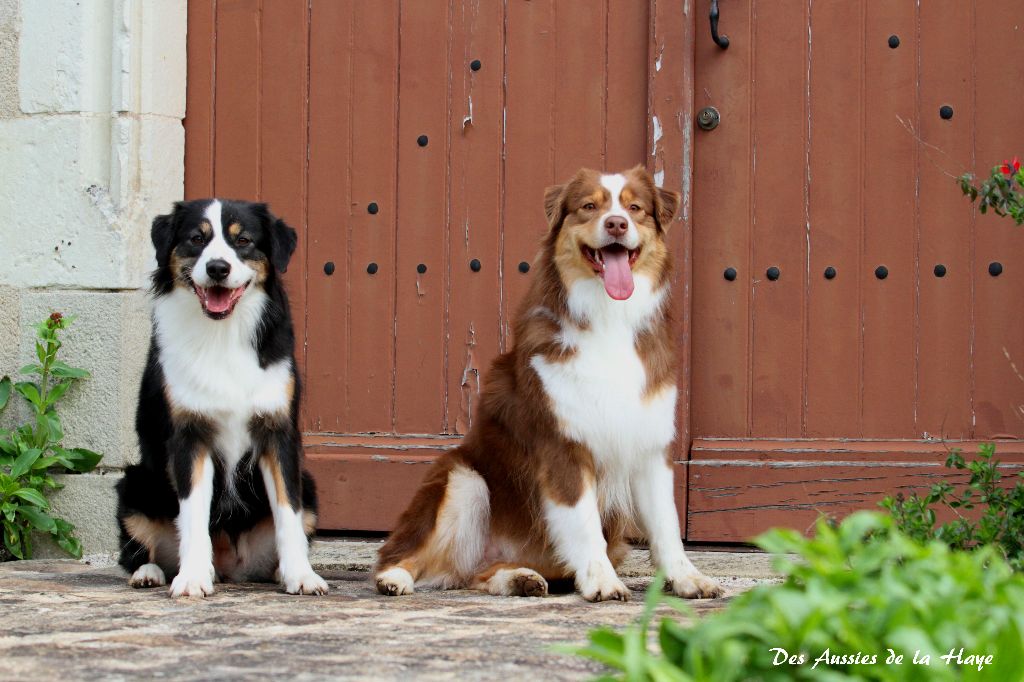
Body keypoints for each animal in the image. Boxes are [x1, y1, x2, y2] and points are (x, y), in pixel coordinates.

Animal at [119, 197, 327, 593]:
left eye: (242, 240)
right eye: (196, 239)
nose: (217, 268)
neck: (222, 333)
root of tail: (234, 566)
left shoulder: (278, 433)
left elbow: (288, 513)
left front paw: (302, 575)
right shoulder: (189, 435)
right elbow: (193, 514)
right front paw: (193, 577)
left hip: (309, 484)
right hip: (134, 483)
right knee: (135, 552)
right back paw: (149, 573)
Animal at [374, 165, 720, 602]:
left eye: (635, 208)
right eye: (589, 206)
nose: (616, 223)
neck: (609, 318)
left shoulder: (649, 445)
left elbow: (666, 525)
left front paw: (687, 577)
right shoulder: (563, 446)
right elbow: (585, 524)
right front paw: (603, 581)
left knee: (477, 574)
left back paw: (519, 578)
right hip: (464, 478)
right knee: (402, 552)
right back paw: (395, 578)